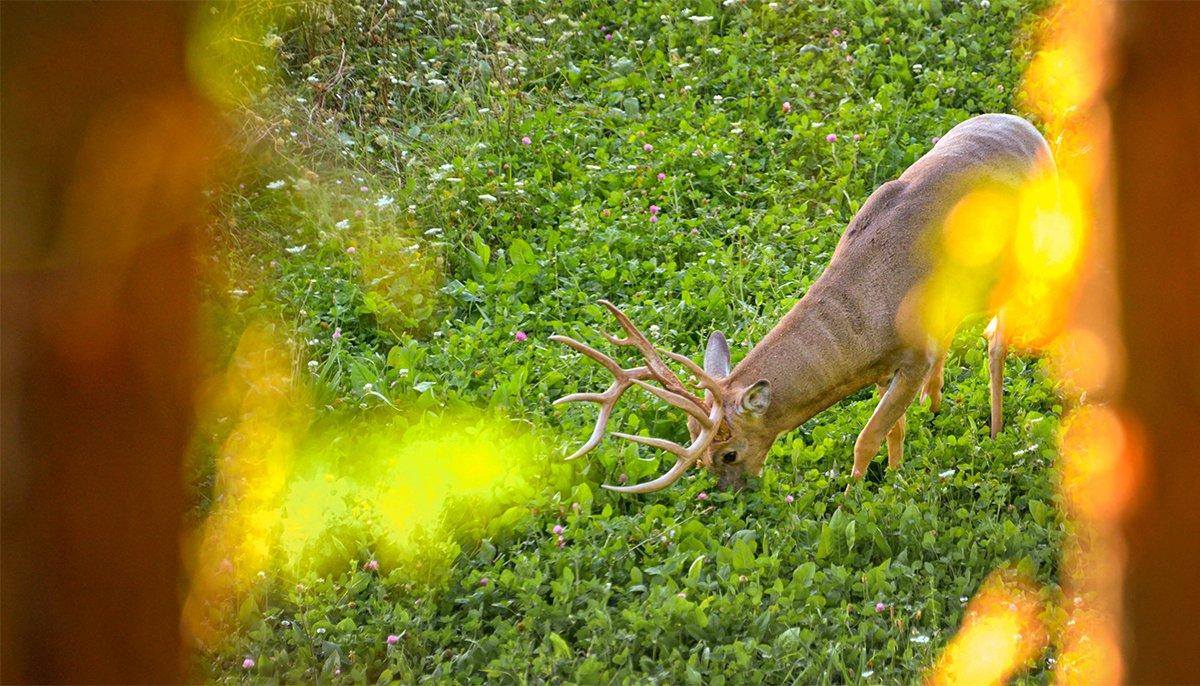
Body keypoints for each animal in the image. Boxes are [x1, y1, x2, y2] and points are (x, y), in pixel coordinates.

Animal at [552, 113, 1056, 493]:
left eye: (728, 453)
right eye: (702, 462)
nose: (728, 495)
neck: (875, 305)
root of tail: (1030, 129)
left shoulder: (915, 352)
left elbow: (867, 437)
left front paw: (855, 493)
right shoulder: (889, 364)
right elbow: (894, 429)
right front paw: (895, 476)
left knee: (996, 341)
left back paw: (996, 432)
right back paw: (936, 405)